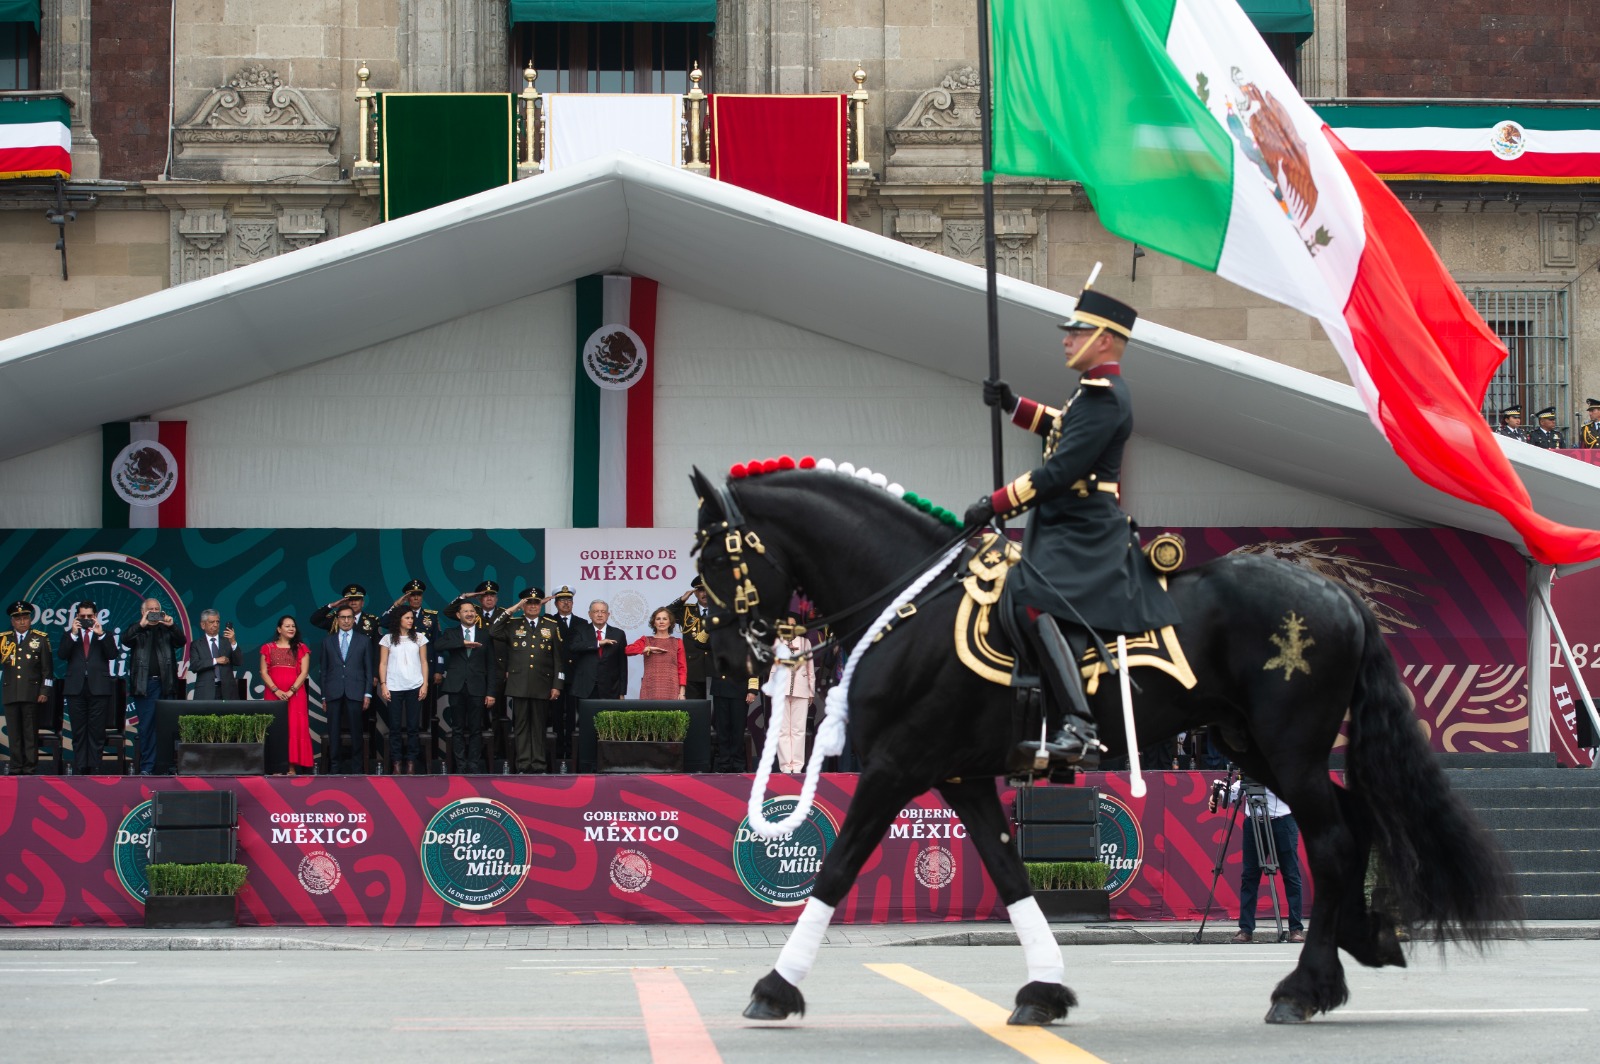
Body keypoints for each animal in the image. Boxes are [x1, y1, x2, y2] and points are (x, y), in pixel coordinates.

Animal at [694, 464, 1516, 1024]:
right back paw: (1361, 945)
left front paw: (775, 987)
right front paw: (1044, 990)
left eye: (710, 555)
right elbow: (1009, 872)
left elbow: (837, 867)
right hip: (1257, 746)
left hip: (1288, 748)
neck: (912, 606)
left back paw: (1304, 986)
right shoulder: (960, 775)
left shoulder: (896, 766)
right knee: (1353, 820)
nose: (728, 658)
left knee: (1334, 840)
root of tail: (1335, 590)